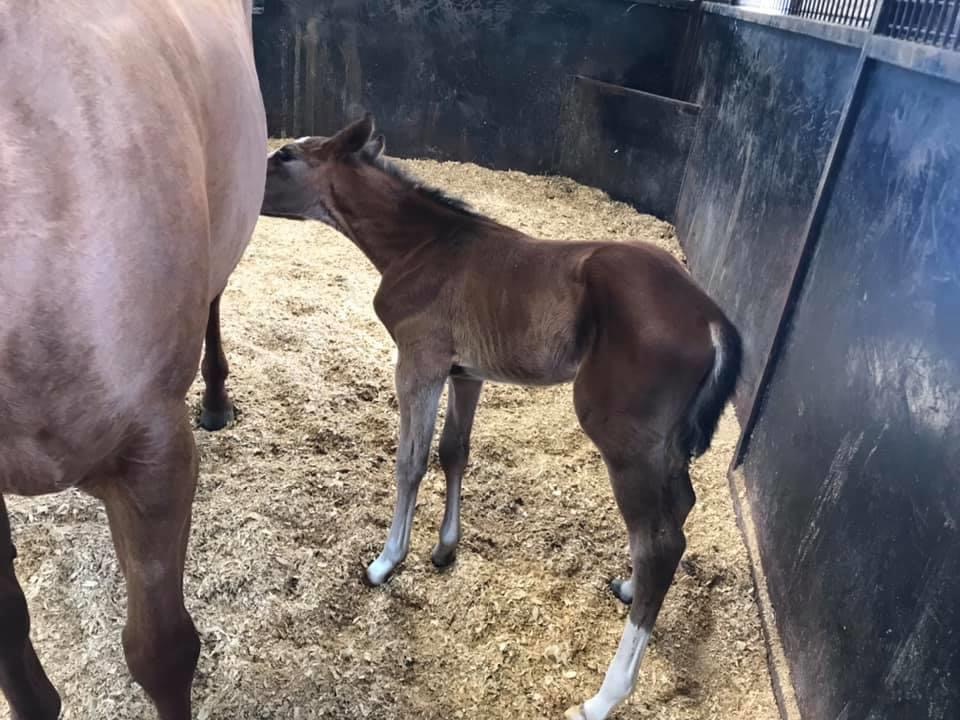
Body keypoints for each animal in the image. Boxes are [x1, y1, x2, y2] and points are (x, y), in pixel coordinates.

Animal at [260, 115, 744, 716]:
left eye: (284, 154)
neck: (424, 246)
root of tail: (711, 318)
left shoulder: (419, 361)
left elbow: (410, 463)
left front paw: (386, 562)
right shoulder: (466, 372)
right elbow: (454, 452)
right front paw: (445, 548)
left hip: (623, 436)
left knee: (659, 542)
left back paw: (602, 697)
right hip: (663, 443)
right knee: (678, 509)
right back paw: (629, 588)